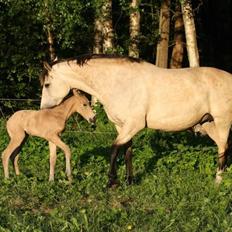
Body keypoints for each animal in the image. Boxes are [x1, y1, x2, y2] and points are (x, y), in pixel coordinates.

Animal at [40, 53, 232, 186]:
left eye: (47, 84)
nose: (43, 110)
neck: (120, 82)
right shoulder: (122, 126)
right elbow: (127, 151)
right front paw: (129, 181)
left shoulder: (134, 125)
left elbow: (114, 149)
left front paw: (111, 181)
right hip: (209, 124)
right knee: (222, 148)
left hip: (222, 122)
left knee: (223, 149)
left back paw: (217, 182)